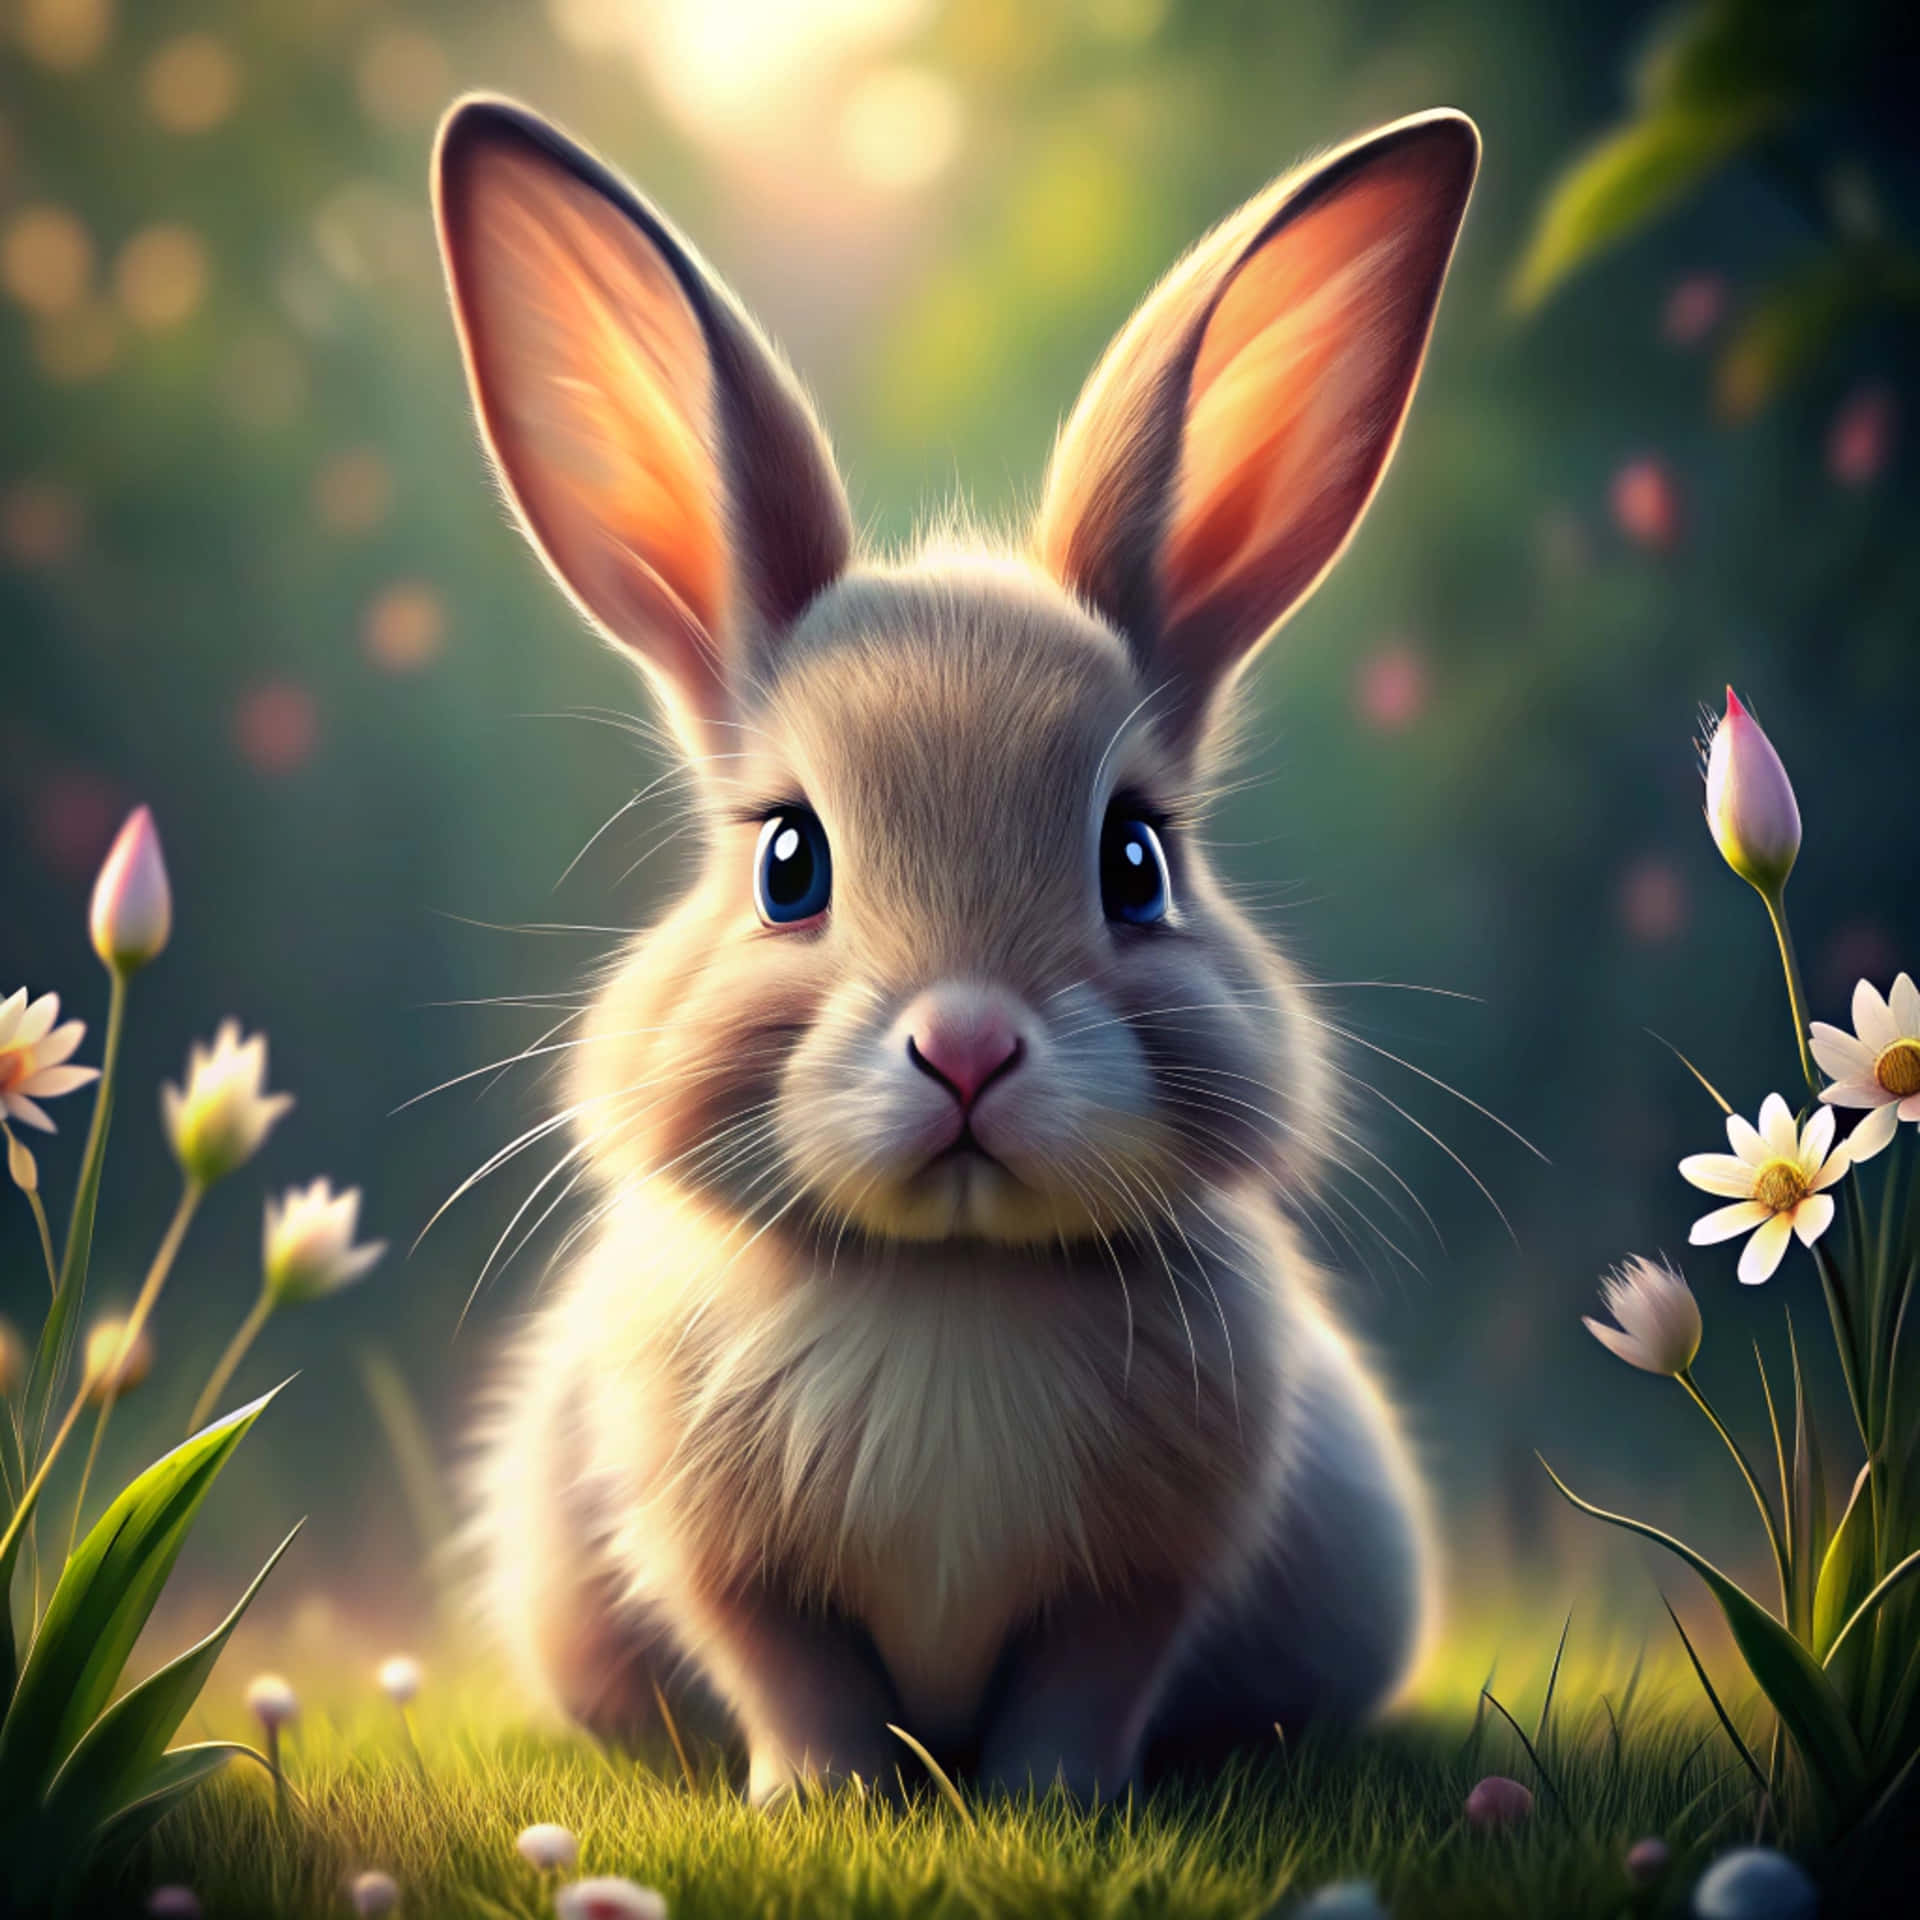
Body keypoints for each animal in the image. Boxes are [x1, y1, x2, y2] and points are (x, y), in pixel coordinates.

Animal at [433, 93, 1478, 1802]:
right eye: (787, 863)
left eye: (1137, 861)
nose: (970, 1045)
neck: (951, 1283)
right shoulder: (731, 1570)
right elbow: (797, 1681)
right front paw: (826, 1805)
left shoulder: (1136, 1588)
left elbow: (1080, 1691)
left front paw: (1056, 1809)